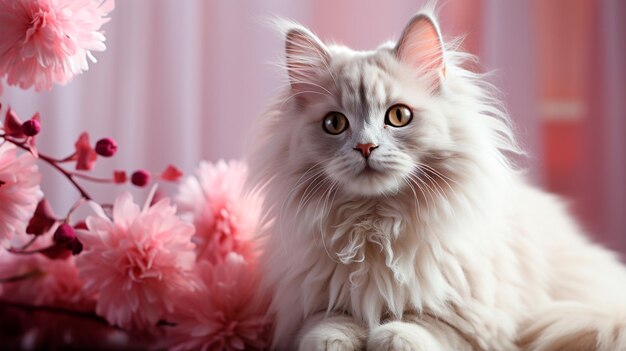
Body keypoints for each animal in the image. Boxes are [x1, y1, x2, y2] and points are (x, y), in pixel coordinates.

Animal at [246, 4, 624, 350]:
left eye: (398, 116)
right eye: (334, 123)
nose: (366, 146)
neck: (376, 227)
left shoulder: (479, 323)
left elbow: (418, 326)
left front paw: (389, 335)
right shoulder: (306, 309)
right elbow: (327, 326)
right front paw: (339, 339)